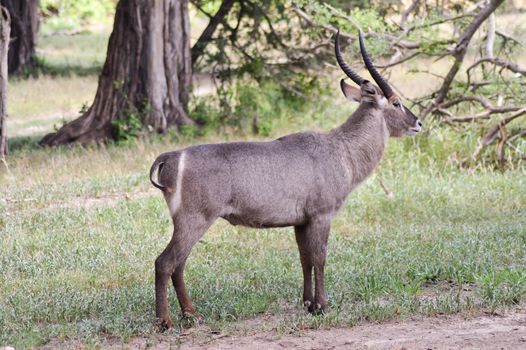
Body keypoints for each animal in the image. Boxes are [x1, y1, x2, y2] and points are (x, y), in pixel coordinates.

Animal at [150, 30, 424, 328]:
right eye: (396, 102)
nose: (418, 123)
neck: (342, 149)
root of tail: (171, 157)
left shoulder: (300, 221)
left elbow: (305, 258)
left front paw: (309, 304)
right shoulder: (321, 215)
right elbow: (320, 257)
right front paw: (323, 305)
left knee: (178, 264)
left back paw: (192, 314)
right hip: (195, 219)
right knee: (165, 262)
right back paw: (166, 321)